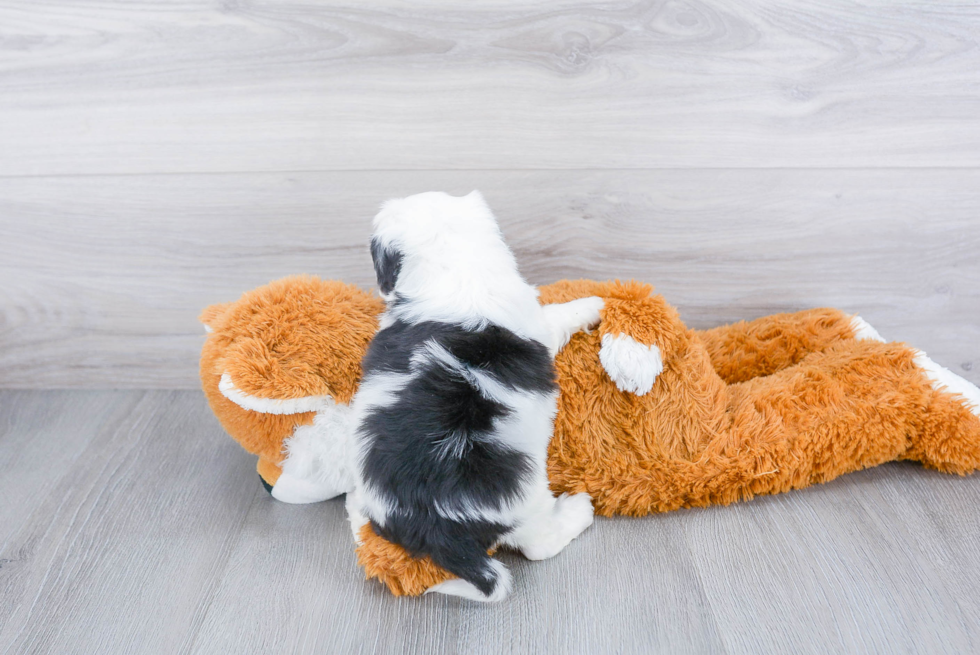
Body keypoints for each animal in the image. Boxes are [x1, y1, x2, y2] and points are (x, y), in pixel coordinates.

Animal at [344, 191, 604, 604]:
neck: (452, 263)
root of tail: (431, 526)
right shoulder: (538, 324)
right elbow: (558, 315)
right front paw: (593, 304)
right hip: (524, 500)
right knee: (538, 544)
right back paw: (577, 510)